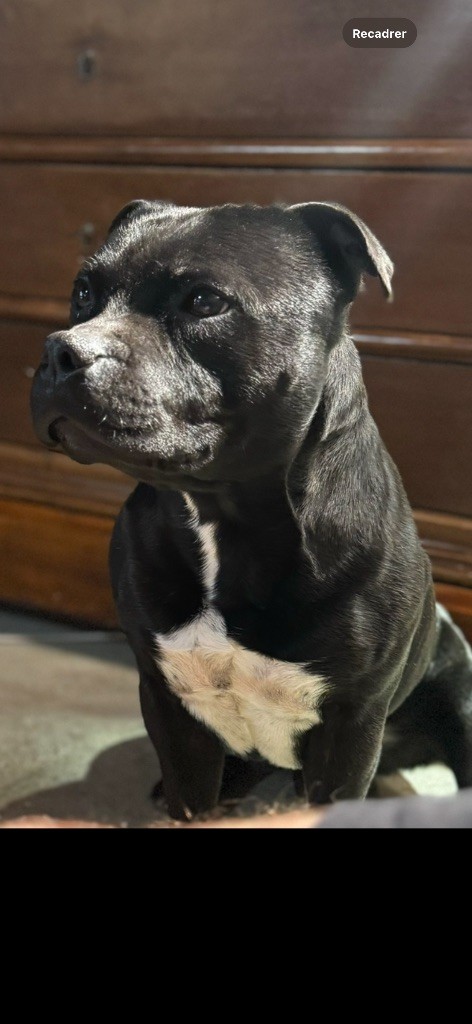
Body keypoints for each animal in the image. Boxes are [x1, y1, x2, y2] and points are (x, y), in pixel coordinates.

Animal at [31, 198, 472, 820]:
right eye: (83, 293)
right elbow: (191, 802)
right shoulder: (169, 709)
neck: (220, 512)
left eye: (204, 301)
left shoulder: (350, 725)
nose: (61, 349)